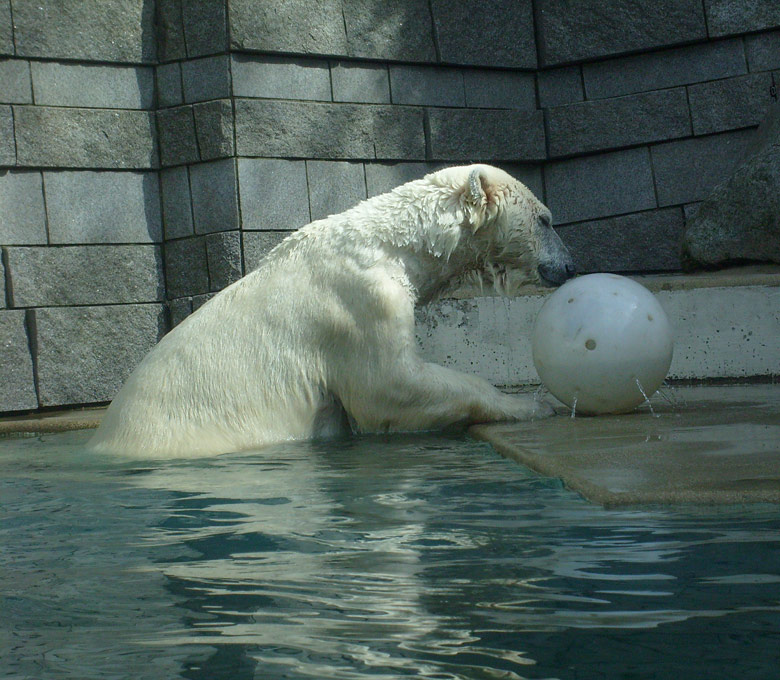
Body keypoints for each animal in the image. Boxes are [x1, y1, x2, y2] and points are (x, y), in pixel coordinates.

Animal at [90, 165, 572, 456]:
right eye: (546, 219)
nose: (570, 264)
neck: (391, 244)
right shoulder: (360, 304)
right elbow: (390, 385)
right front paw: (533, 403)